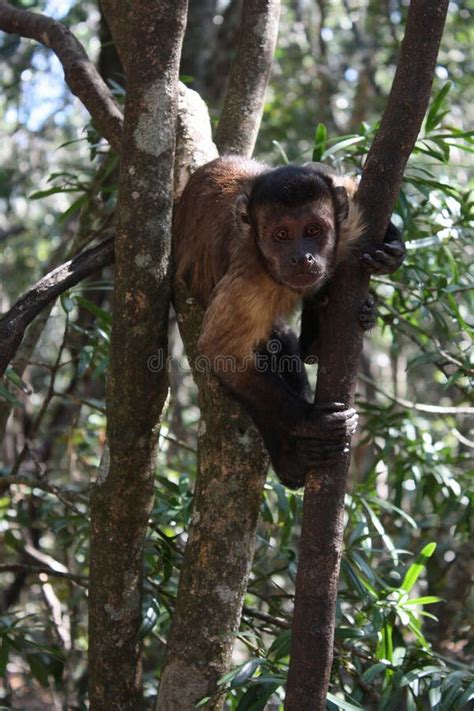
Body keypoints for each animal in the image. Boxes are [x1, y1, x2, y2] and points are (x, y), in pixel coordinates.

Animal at [172, 157, 406, 490]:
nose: (302, 257)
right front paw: (310, 420)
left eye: (313, 230)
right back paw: (291, 460)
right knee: (269, 344)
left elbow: (347, 188)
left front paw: (393, 248)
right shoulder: (250, 280)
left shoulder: (346, 217)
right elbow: (220, 352)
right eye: (281, 235)